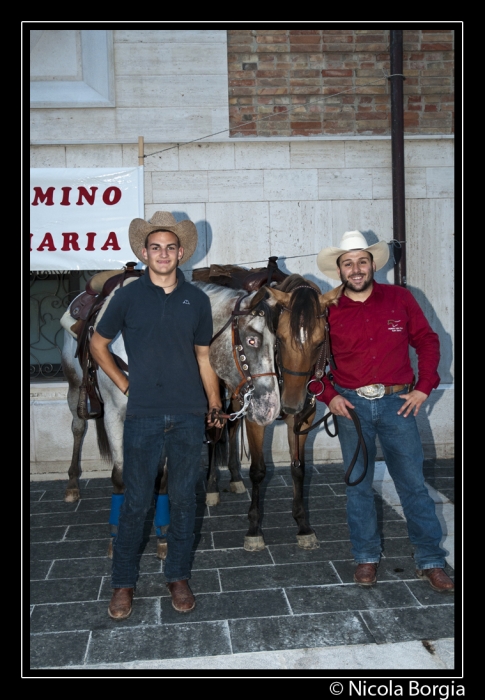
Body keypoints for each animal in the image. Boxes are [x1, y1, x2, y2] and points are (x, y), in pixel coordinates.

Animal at [60, 274, 280, 556]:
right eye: (252, 340)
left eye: (276, 343)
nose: (271, 407)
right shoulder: (113, 416)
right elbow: (119, 477)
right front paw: (116, 537)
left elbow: (163, 477)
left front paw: (163, 536)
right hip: (74, 386)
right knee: (78, 427)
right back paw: (72, 485)